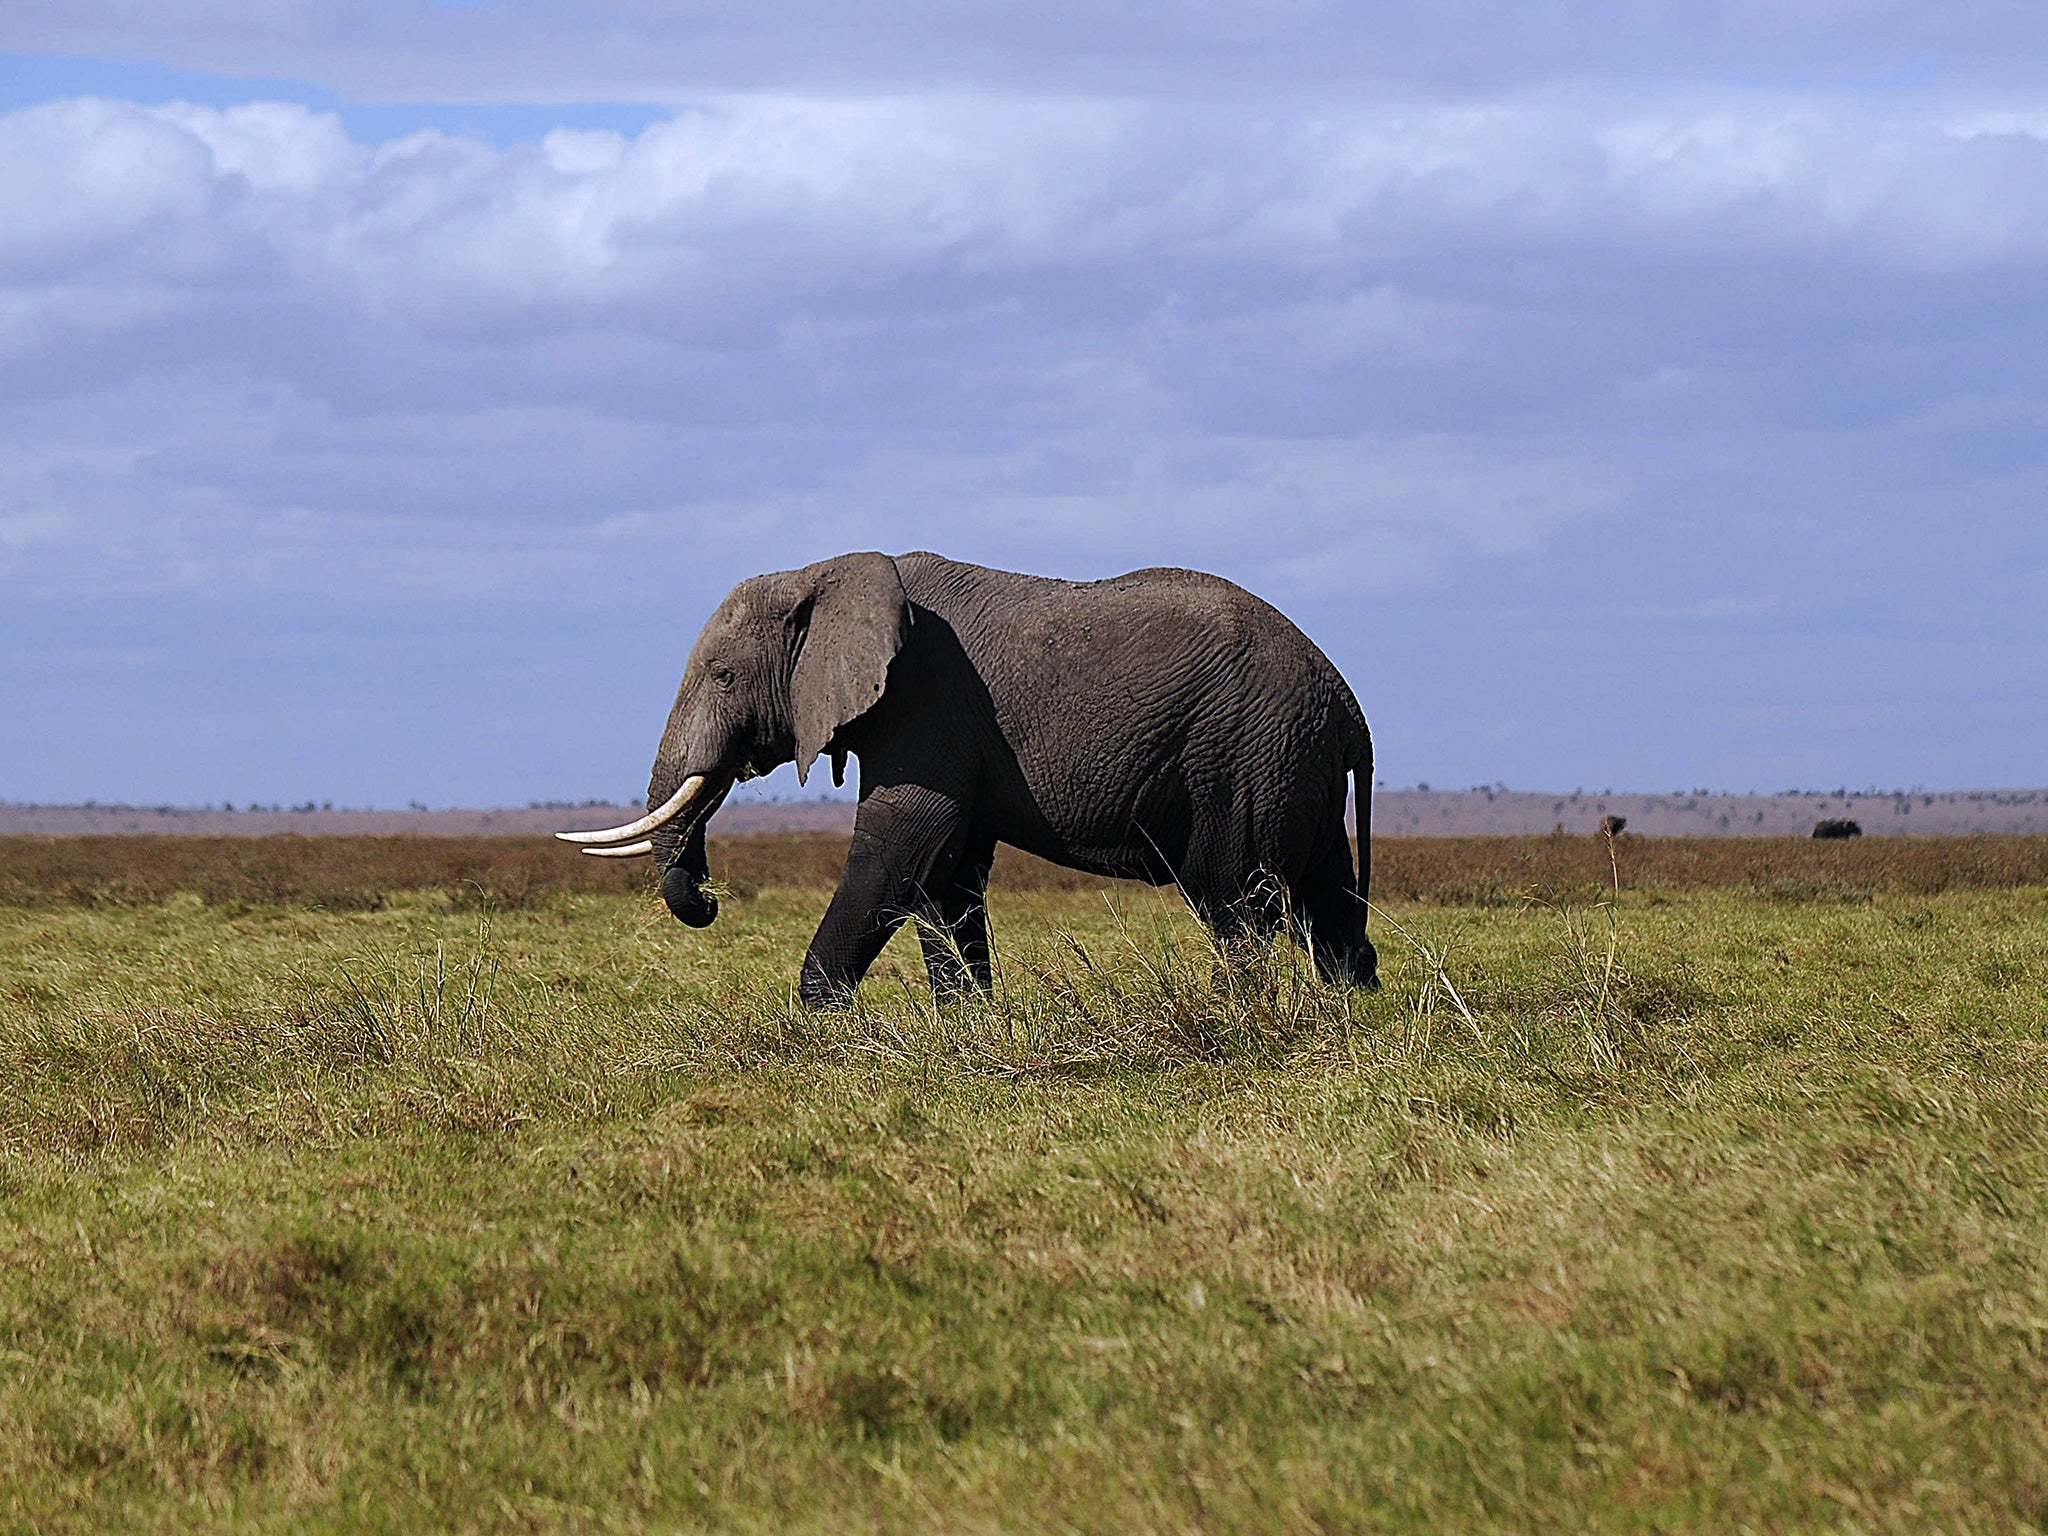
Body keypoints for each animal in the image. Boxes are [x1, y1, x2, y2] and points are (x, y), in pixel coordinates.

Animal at [565, 552, 1376, 1011]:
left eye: (724, 675)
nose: (707, 900)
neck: (821, 573)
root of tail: (1347, 704)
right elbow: (946, 876)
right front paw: (969, 1025)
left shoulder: (926, 706)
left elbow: (900, 846)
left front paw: (821, 1022)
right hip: (1294, 764)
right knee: (1326, 899)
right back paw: (1355, 1012)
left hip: (1249, 757)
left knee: (1237, 902)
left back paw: (1238, 1018)